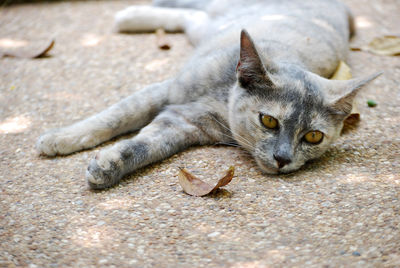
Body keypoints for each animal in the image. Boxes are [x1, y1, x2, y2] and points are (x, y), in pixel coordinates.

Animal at [36, 0, 382, 189]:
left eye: (313, 137)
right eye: (268, 121)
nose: (283, 159)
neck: (221, 99)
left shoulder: (183, 124)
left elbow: (142, 147)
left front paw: (107, 167)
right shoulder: (165, 91)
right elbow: (113, 117)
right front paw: (59, 138)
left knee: (193, 17)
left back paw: (130, 17)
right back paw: (131, 15)